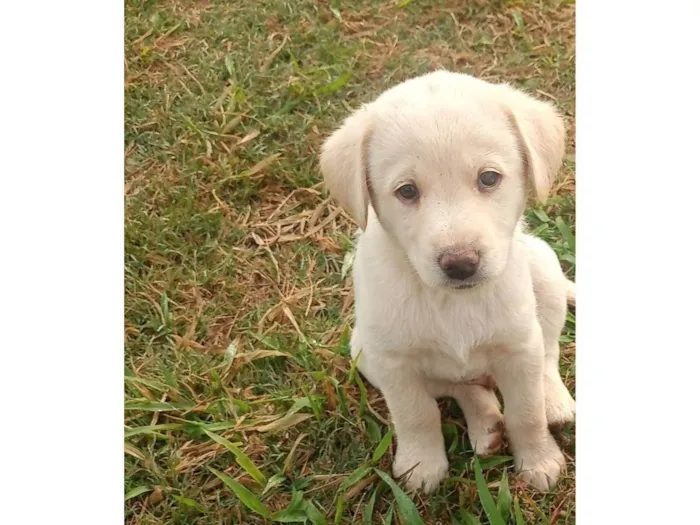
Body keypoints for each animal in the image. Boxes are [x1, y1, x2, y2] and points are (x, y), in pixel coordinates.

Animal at [320, 71, 576, 494]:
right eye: (407, 190)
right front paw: (421, 464)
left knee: (549, 354)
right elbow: (416, 414)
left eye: (489, 178)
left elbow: (526, 411)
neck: (451, 301)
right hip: (363, 352)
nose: (460, 264)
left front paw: (539, 460)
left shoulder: (519, 346)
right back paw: (486, 425)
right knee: (463, 387)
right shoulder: (393, 363)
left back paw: (553, 402)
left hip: (544, 271)